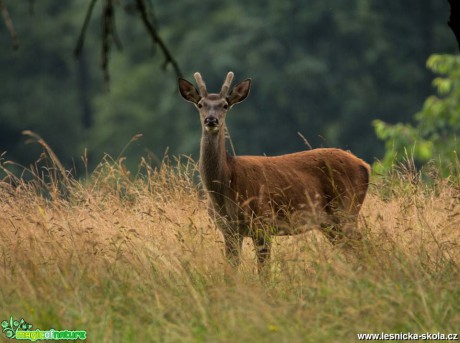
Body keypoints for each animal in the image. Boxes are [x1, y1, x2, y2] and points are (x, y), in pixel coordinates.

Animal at [178, 71, 372, 276]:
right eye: (200, 104)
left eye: (225, 105)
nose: (211, 120)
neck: (225, 188)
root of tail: (365, 166)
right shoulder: (229, 231)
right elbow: (232, 269)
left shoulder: (262, 222)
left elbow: (264, 272)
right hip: (331, 223)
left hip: (347, 208)